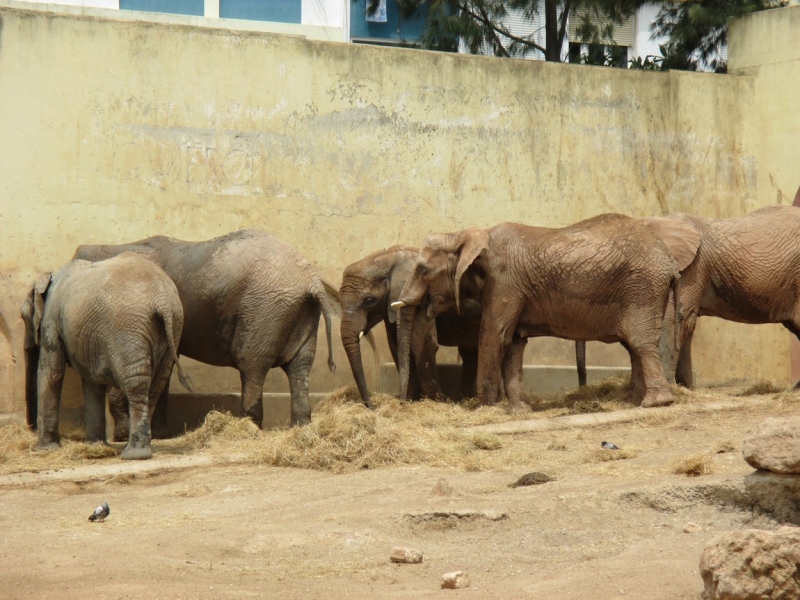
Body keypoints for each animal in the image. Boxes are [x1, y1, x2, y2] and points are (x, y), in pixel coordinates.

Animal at [21, 252, 190, 460]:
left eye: (23, 317)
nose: (31, 430)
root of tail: (162, 301)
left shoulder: (51, 320)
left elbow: (51, 372)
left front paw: (44, 449)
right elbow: (91, 382)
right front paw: (96, 446)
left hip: (127, 327)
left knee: (136, 384)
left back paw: (134, 454)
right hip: (173, 327)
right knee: (155, 384)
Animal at [72, 230, 338, 432]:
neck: (120, 246)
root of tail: (313, 281)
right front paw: (160, 434)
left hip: (266, 308)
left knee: (252, 366)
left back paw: (248, 427)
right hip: (300, 312)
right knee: (299, 367)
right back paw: (300, 427)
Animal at [338, 245, 588, 408]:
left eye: (368, 301)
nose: (372, 405)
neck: (385, 257)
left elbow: (422, 344)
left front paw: (434, 403)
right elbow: (396, 345)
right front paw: (410, 399)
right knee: (471, 352)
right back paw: (465, 398)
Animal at [394, 214, 680, 408]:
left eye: (424, 270)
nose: (402, 400)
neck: (466, 234)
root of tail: (670, 261)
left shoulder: (503, 282)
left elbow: (494, 336)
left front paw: (483, 407)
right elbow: (513, 344)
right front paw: (519, 410)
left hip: (643, 288)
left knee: (640, 343)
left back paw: (655, 402)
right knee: (634, 347)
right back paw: (633, 400)